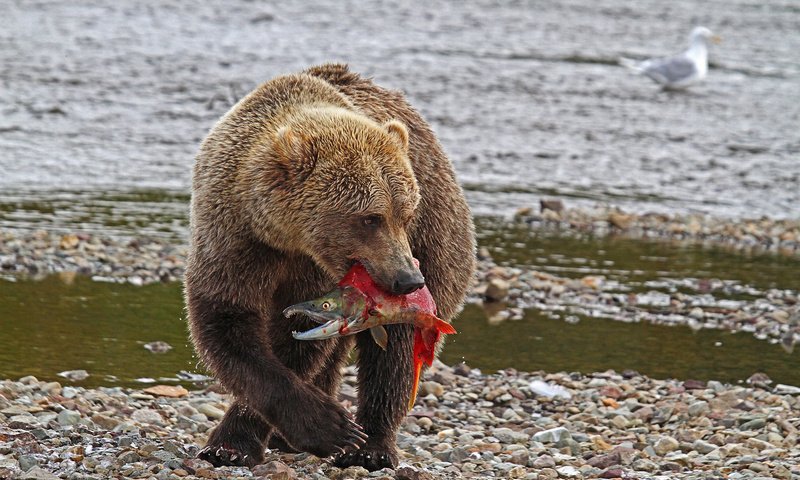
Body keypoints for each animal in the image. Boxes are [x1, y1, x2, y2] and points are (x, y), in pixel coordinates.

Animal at [186, 62, 476, 470]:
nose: (408, 279)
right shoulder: (234, 236)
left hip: (438, 245)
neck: (284, 236)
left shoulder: (316, 269)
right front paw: (235, 445)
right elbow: (228, 321)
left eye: (405, 214)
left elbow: (296, 337)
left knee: (395, 356)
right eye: (370, 218)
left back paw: (372, 447)